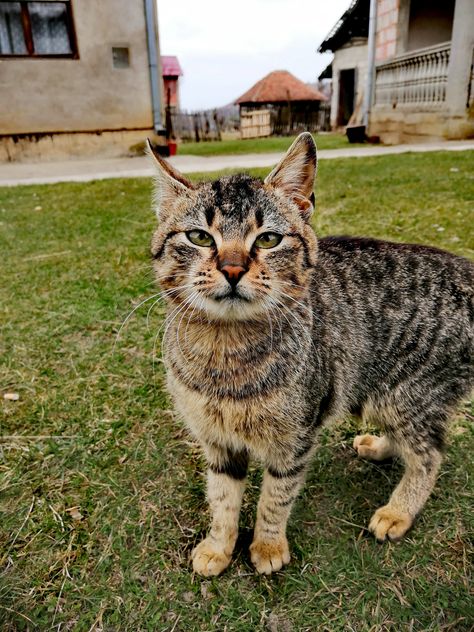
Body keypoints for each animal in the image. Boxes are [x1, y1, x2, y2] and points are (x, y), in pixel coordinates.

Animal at [146, 135, 472, 576]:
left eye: (268, 239)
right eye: (199, 237)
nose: (232, 269)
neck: (225, 357)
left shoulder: (295, 438)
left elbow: (274, 499)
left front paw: (267, 547)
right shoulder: (217, 441)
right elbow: (222, 500)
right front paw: (217, 548)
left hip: (411, 394)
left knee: (429, 454)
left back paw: (397, 511)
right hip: (382, 394)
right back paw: (379, 447)